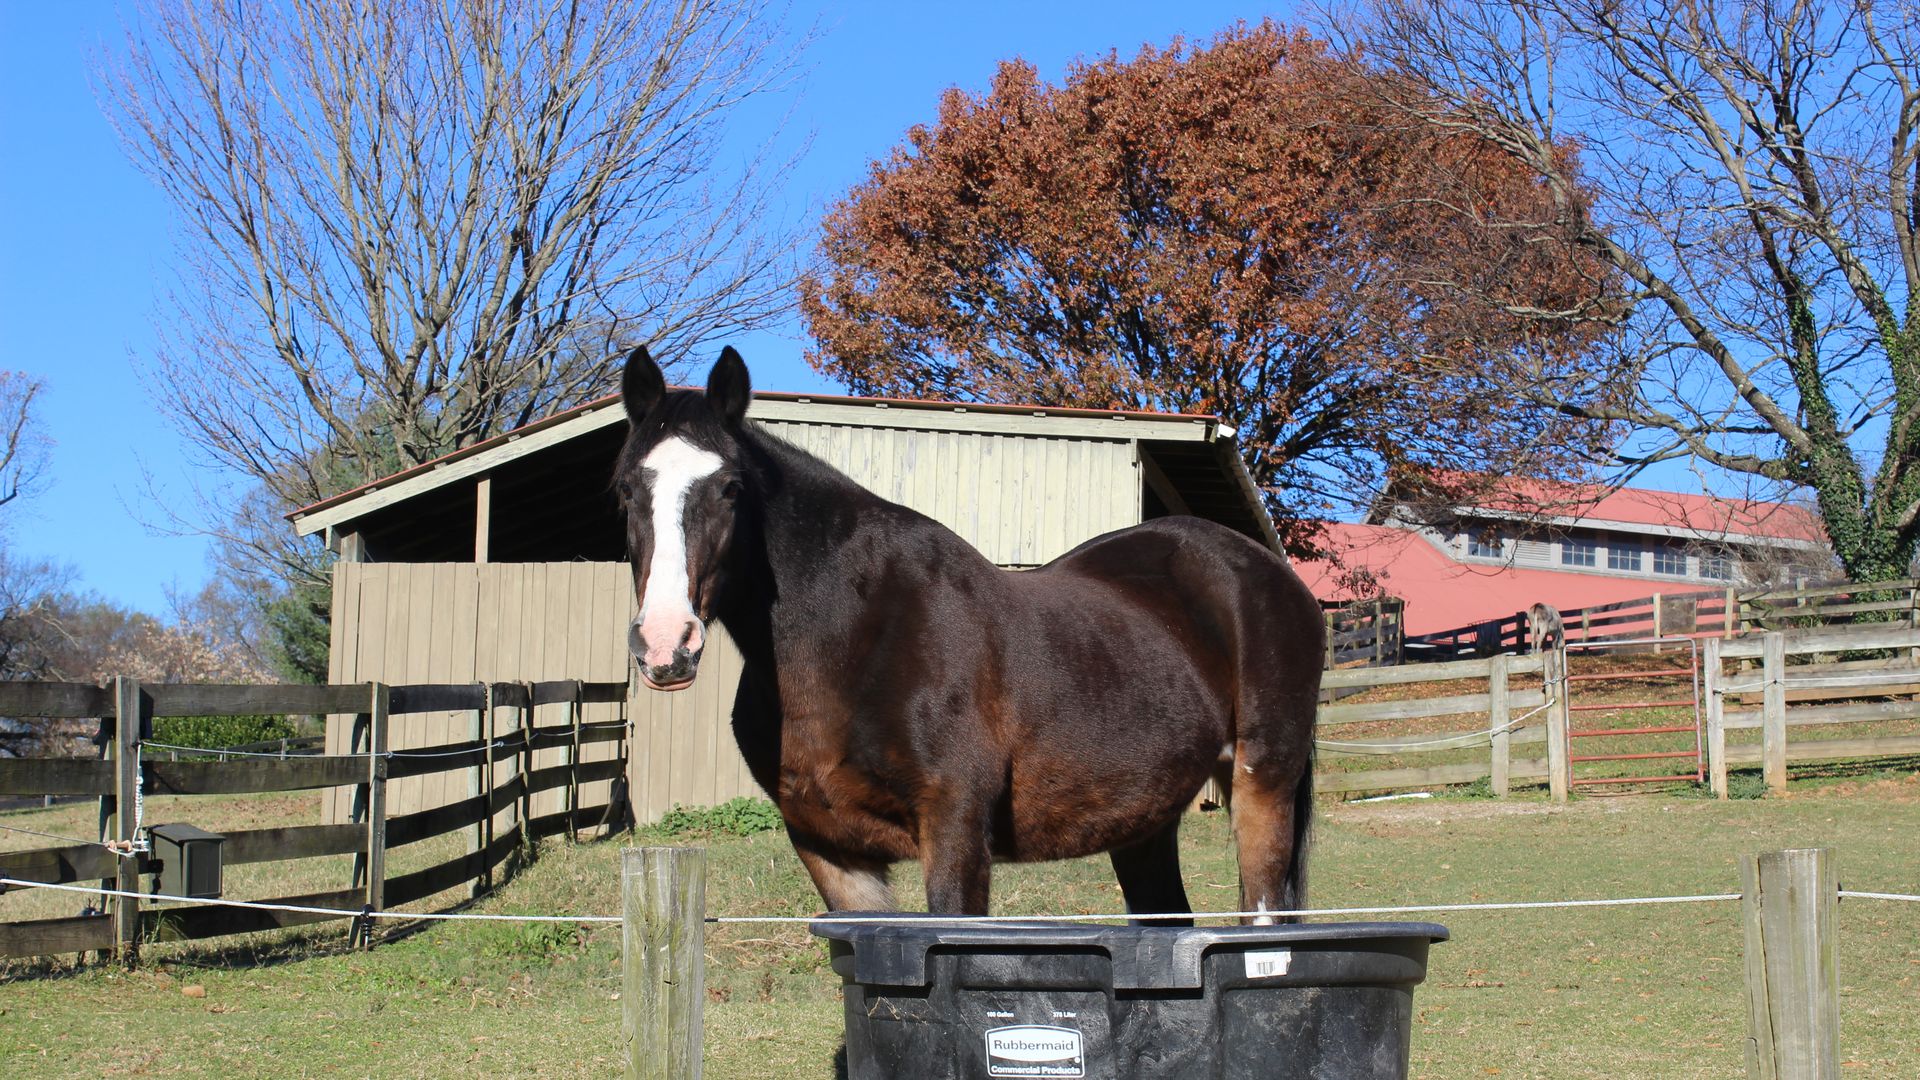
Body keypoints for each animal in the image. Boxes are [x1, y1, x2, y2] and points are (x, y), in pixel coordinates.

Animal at [613, 345, 1325, 923]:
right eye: (623, 491)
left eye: (731, 487)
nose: (666, 644)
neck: (852, 640)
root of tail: (1272, 574)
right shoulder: (831, 852)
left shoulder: (954, 832)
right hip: (1142, 820)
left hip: (1262, 786)